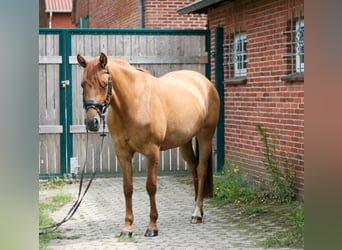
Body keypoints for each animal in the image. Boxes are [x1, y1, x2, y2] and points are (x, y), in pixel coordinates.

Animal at [77, 52, 219, 236]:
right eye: (83, 85)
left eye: (103, 84)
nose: (91, 122)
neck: (134, 103)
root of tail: (205, 82)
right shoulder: (123, 153)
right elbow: (127, 188)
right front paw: (127, 227)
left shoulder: (152, 152)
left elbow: (151, 187)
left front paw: (152, 226)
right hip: (185, 142)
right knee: (193, 169)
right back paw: (198, 210)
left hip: (205, 136)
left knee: (201, 170)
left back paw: (196, 214)